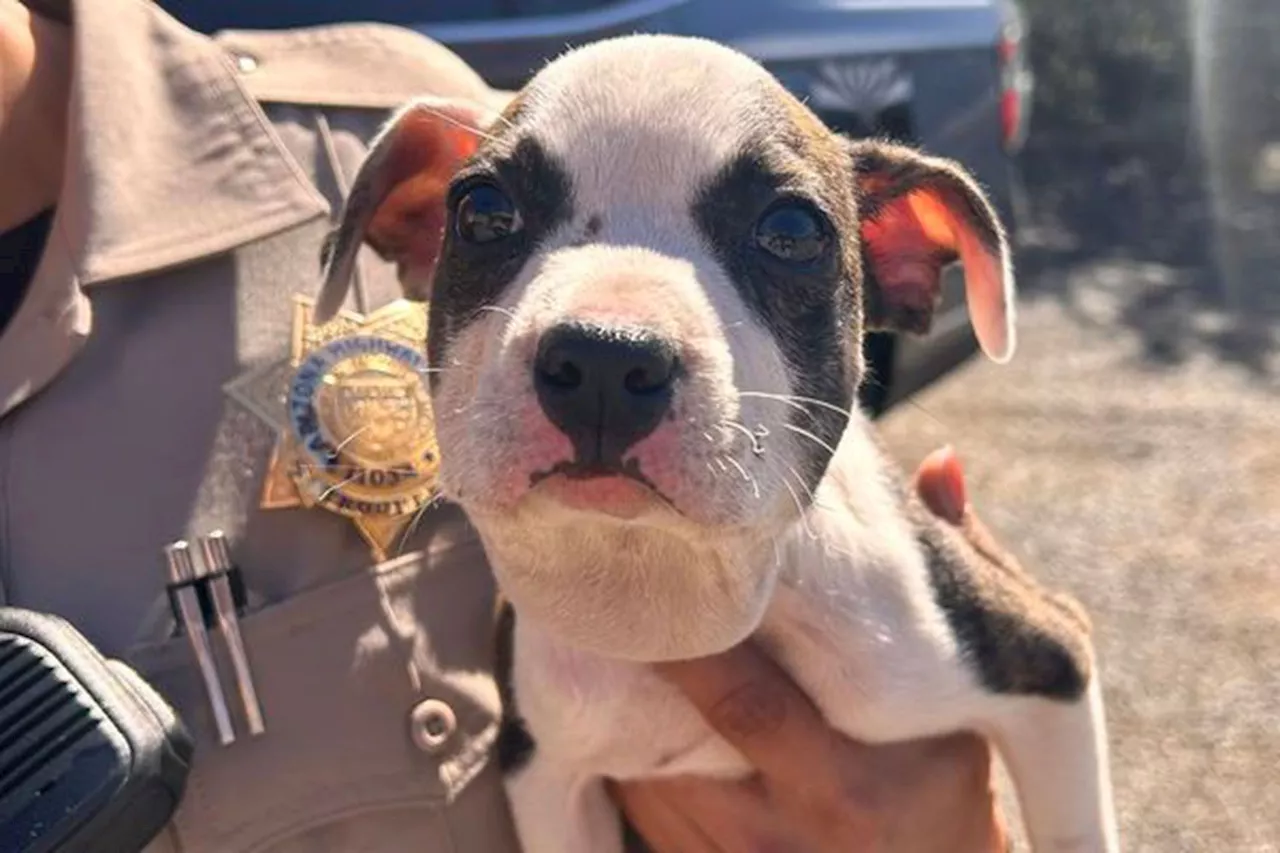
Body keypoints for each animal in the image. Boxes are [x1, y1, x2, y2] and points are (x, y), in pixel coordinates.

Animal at [314, 34, 1116, 850]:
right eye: (482, 211)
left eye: (792, 232)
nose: (604, 357)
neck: (658, 591)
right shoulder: (544, 775)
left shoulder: (1046, 657)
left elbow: (1074, 832)